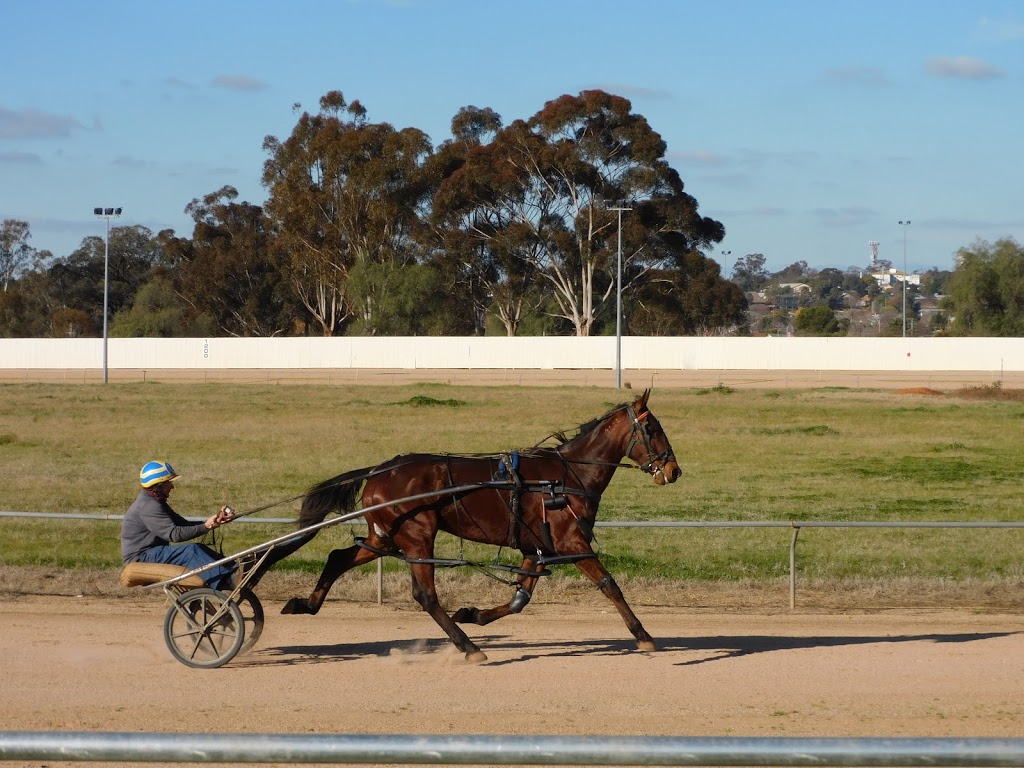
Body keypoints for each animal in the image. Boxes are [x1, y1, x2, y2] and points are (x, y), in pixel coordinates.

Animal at [280, 391, 679, 663]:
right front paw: (643, 634)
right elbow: (609, 585)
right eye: (652, 428)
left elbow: (519, 599)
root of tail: (380, 469)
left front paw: (474, 613)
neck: (566, 477)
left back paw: (305, 604)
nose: (674, 470)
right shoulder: (570, 541)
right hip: (417, 535)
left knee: (338, 556)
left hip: (386, 536)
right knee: (425, 595)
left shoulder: (536, 548)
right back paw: (469, 647)